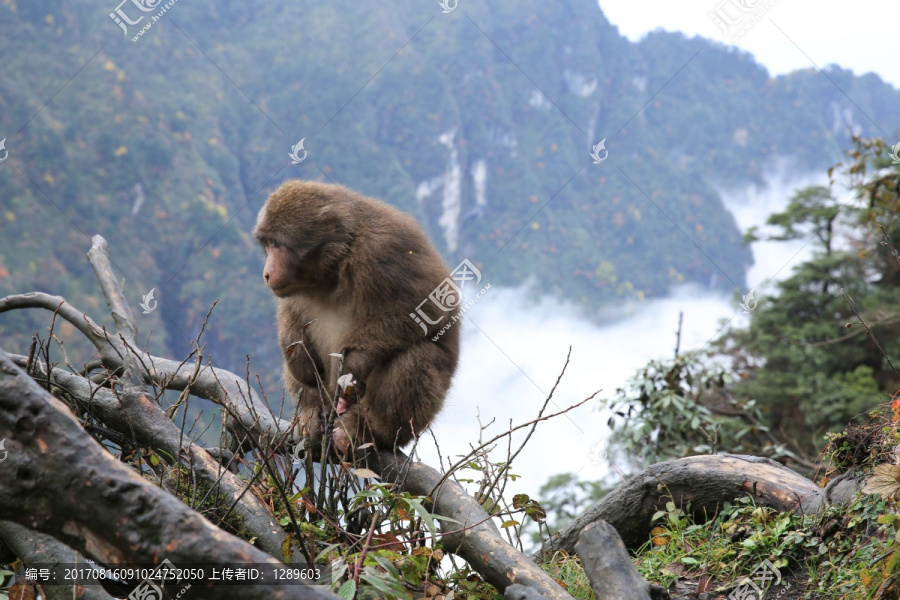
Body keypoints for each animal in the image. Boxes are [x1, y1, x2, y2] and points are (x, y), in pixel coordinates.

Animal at [255, 180, 460, 452]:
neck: (336, 262)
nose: (267, 273)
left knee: (418, 356)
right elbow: (291, 314)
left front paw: (354, 362)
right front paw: (298, 354)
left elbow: (431, 307)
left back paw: (370, 430)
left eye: (277, 244)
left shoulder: (384, 249)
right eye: (267, 245)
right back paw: (311, 411)